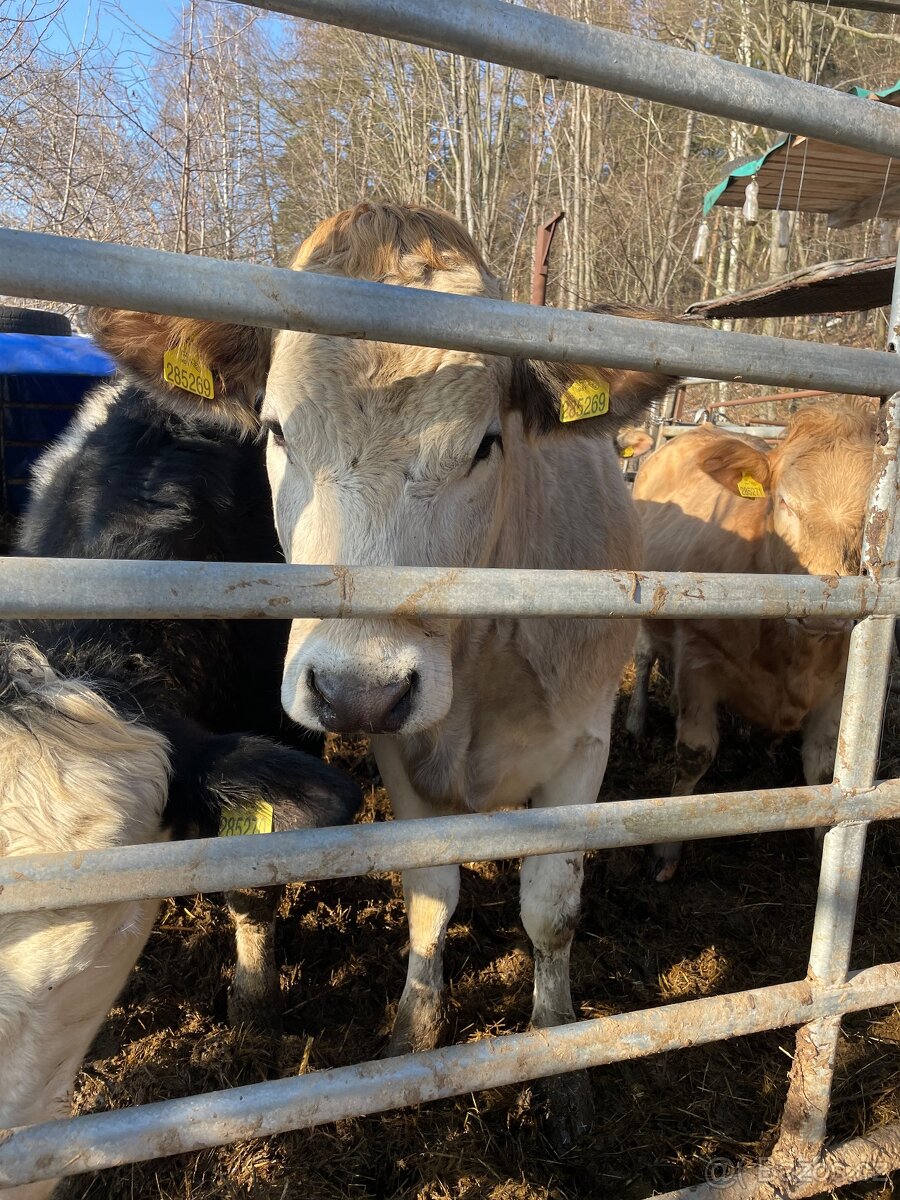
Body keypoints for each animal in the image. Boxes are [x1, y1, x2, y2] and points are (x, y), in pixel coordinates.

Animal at [628, 403, 878, 883]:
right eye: (784, 501)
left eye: (871, 517)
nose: (830, 610)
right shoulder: (700, 657)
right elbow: (694, 754)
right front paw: (665, 851)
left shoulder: (839, 686)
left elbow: (824, 765)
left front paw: (826, 845)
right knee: (646, 655)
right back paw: (636, 718)